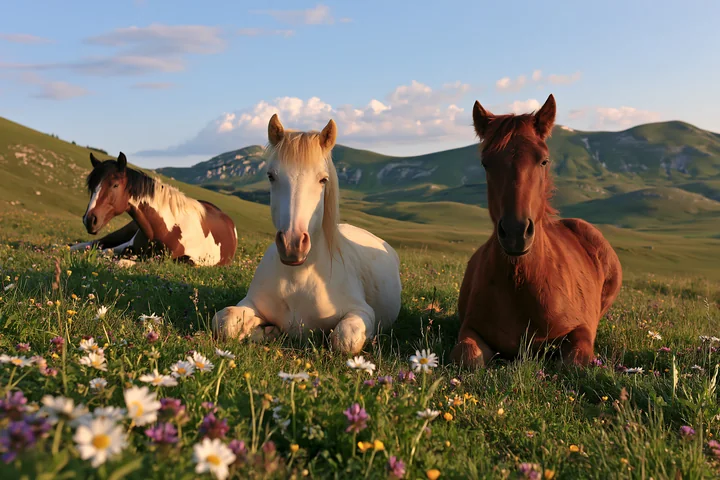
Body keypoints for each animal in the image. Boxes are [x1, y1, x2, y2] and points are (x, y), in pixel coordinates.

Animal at [70, 152, 238, 267]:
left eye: (115, 185)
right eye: (92, 186)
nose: (90, 220)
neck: (167, 229)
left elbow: (119, 261)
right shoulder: (127, 246)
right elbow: (103, 252)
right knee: (91, 244)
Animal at [211, 114, 402, 354]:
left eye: (323, 180)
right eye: (271, 176)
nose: (292, 244)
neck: (298, 278)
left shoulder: (362, 312)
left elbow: (344, 339)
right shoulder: (251, 303)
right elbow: (224, 321)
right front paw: (265, 331)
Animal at [451, 94, 622, 368]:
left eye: (543, 160)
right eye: (485, 163)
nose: (515, 232)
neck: (520, 283)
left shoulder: (581, 330)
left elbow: (574, 361)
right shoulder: (470, 328)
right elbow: (467, 355)